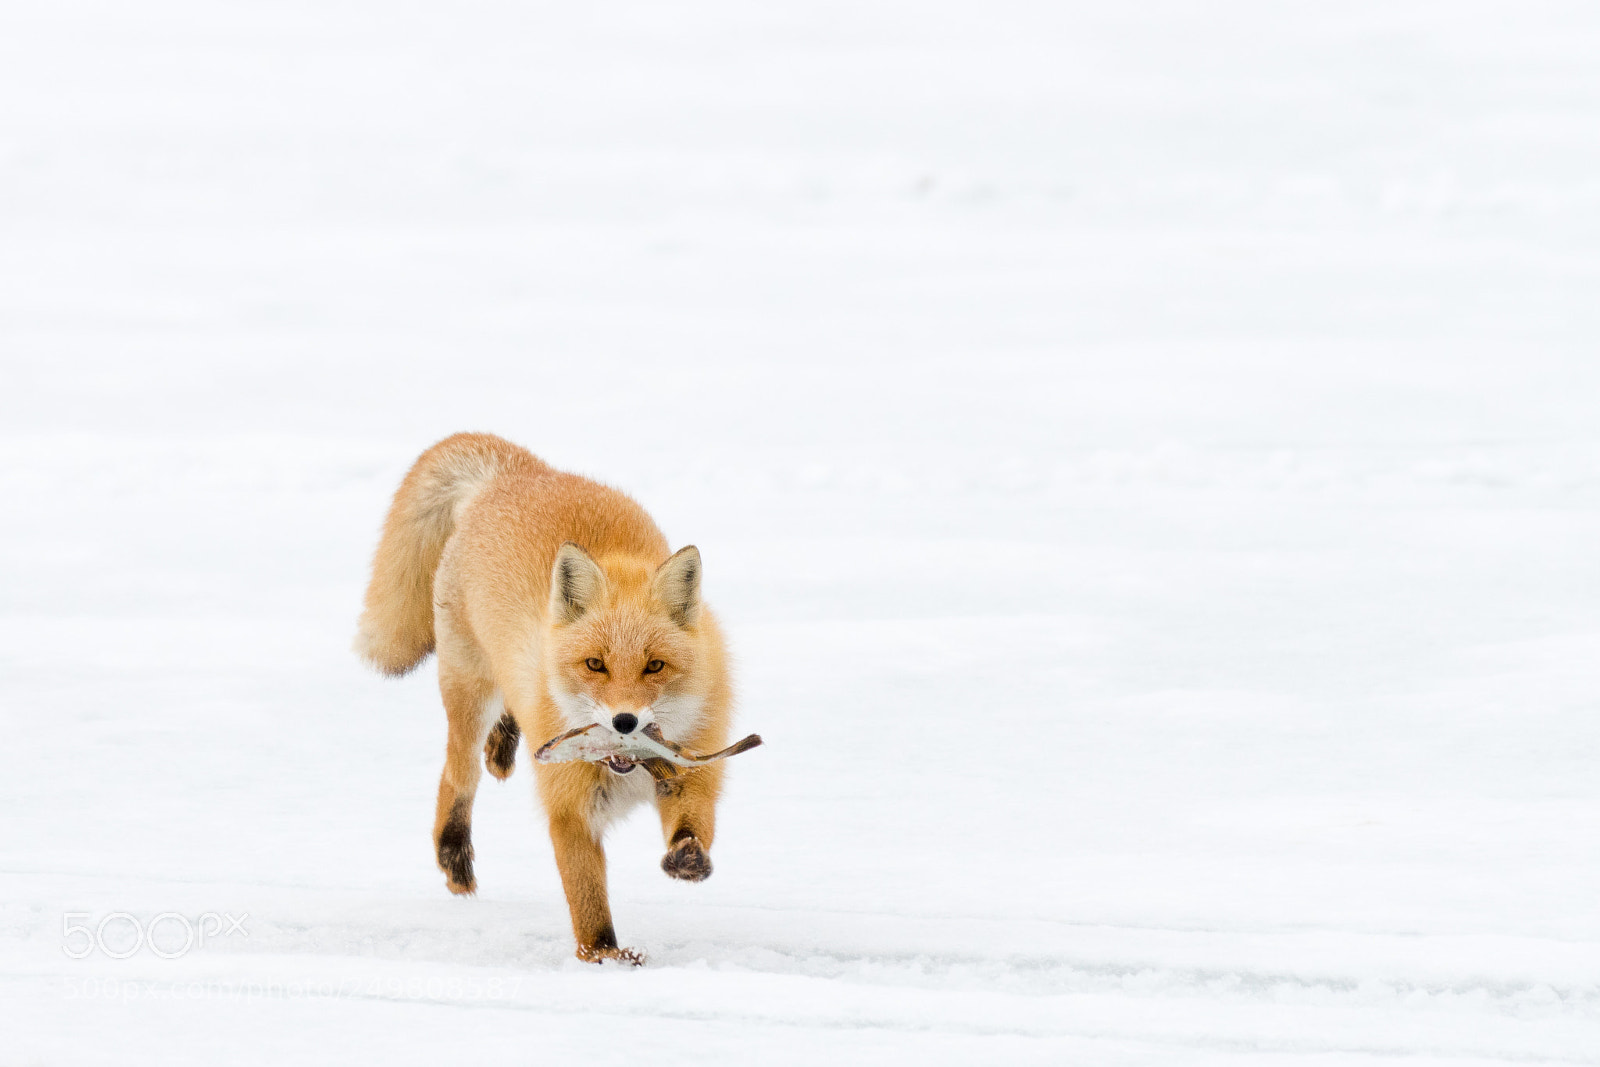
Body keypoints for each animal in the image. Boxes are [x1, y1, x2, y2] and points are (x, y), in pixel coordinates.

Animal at [354, 433, 735, 965]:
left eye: (655, 666)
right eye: (595, 664)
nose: (624, 722)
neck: (630, 769)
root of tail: (519, 473)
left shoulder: (693, 773)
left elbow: (696, 827)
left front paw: (688, 858)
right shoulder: (569, 809)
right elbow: (589, 904)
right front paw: (603, 961)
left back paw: (502, 747)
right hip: (468, 692)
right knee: (457, 776)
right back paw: (455, 858)